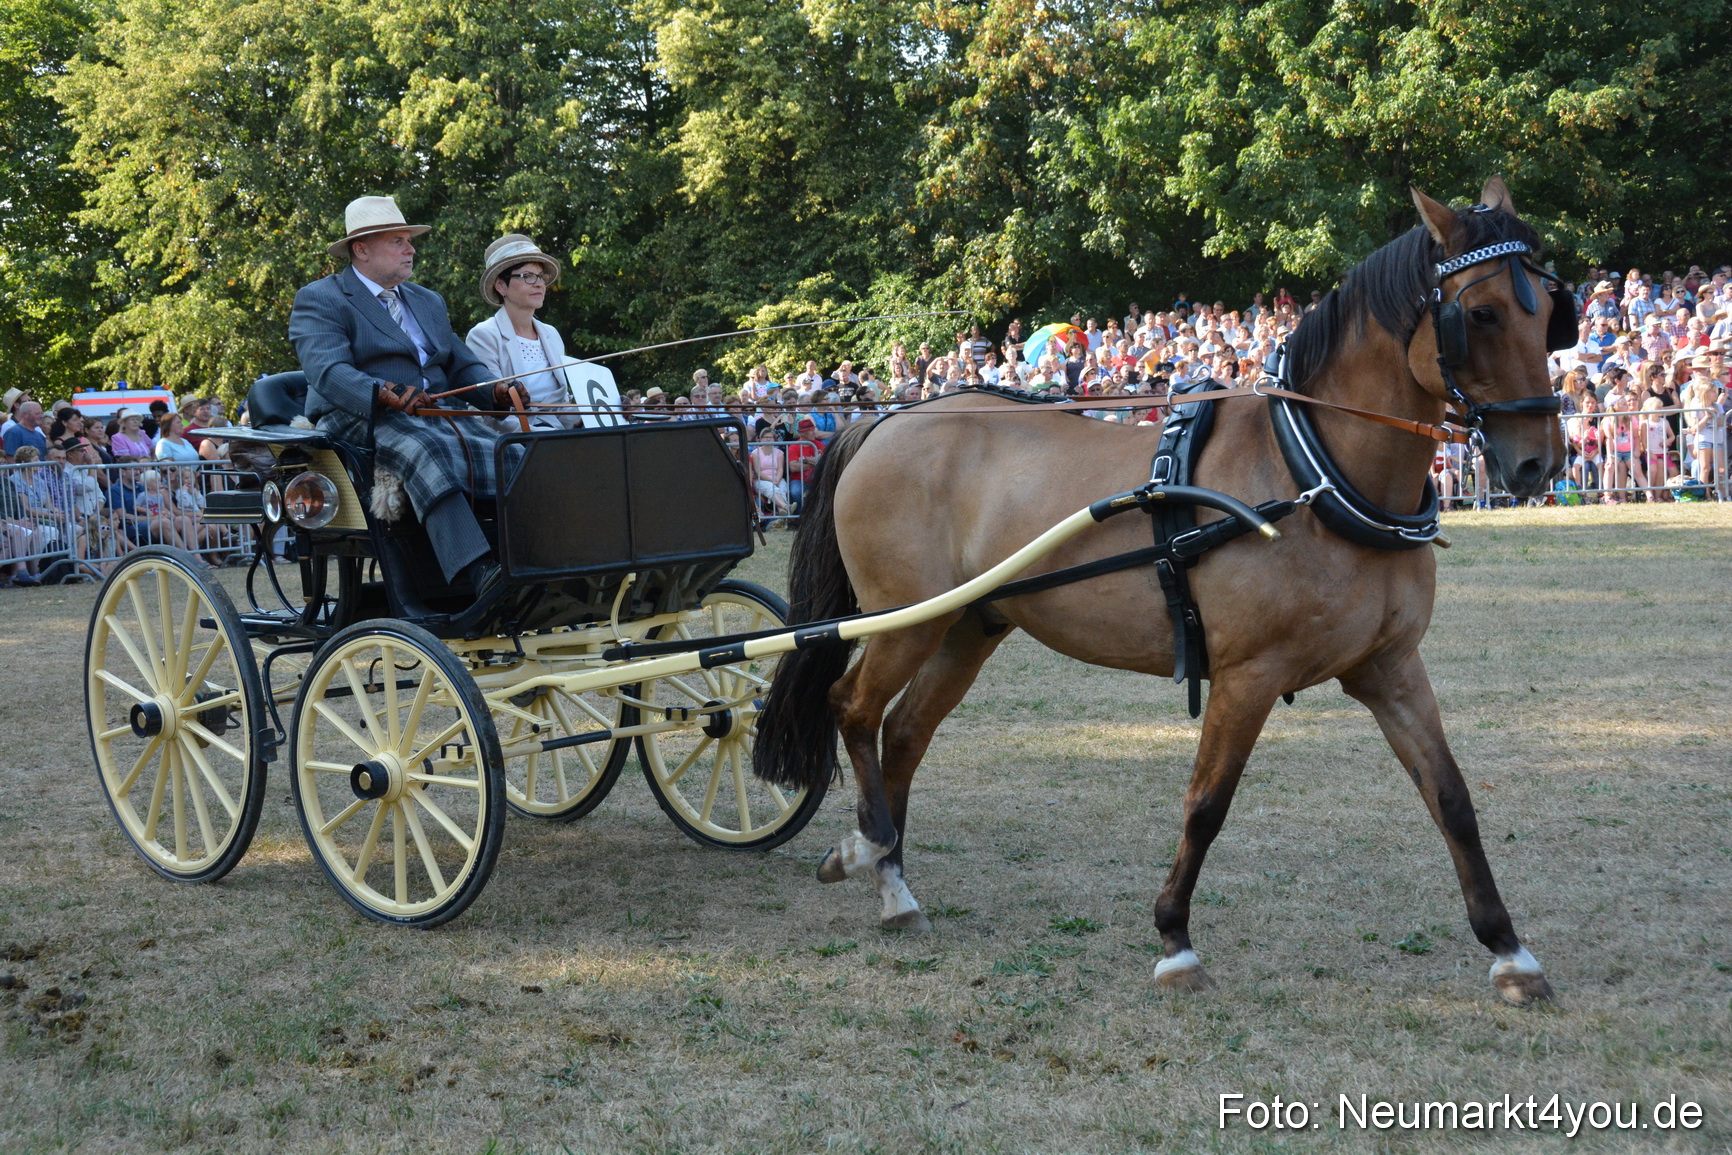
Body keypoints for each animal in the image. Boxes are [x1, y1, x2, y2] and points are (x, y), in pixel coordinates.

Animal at [753, 177, 1566, 1005]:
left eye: (1549, 313)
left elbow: (1452, 797)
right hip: (904, 620)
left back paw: (895, 883)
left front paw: (1509, 949)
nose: (1538, 463)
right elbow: (1207, 803)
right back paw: (867, 848)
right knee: (853, 709)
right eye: (1480, 313)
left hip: (966, 626)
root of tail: (888, 420)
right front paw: (1175, 938)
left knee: (905, 733)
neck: (1313, 472)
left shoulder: (1390, 667)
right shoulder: (1248, 675)